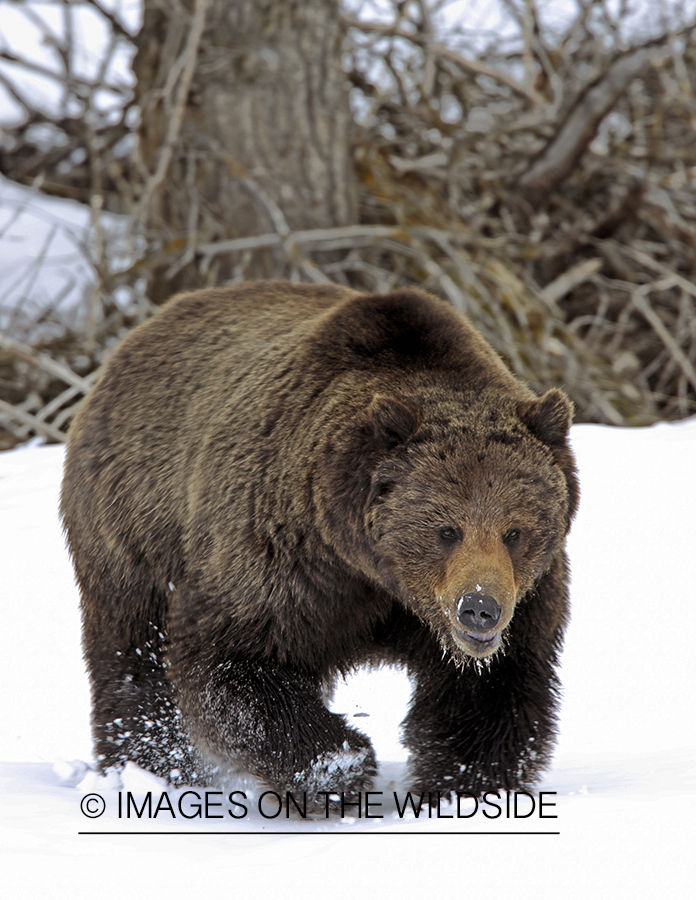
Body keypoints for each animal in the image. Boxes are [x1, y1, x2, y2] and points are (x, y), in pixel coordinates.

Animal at [62, 282, 580, 800]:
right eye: (445, 530)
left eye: (514, 531)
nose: (478, 608)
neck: (377, 574)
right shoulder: (289, 564)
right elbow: (235, 661)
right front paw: (341, 767)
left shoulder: (523, 600)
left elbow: (490, 694)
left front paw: (463, 786)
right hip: (136, 526)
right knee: (134, 657)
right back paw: (149, 767)